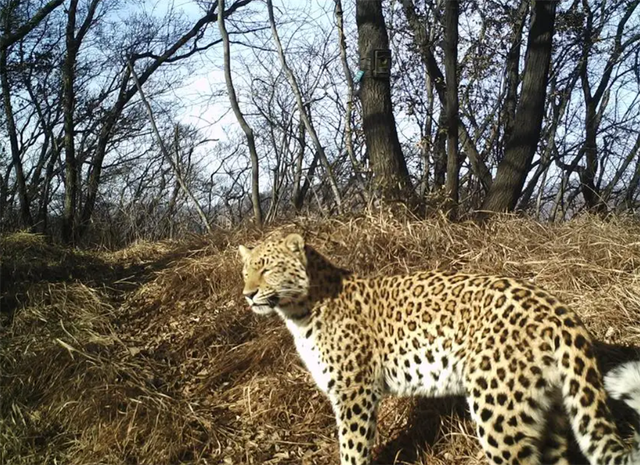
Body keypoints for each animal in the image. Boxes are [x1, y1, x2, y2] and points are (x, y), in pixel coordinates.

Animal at [238, 232, 640, 464]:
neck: (299, 311)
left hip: (498, 409)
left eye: (268, 268)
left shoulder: (355, 393)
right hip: (548, 409)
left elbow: (352, 450)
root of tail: (559, 310)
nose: (248, 294)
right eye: (246, 271)